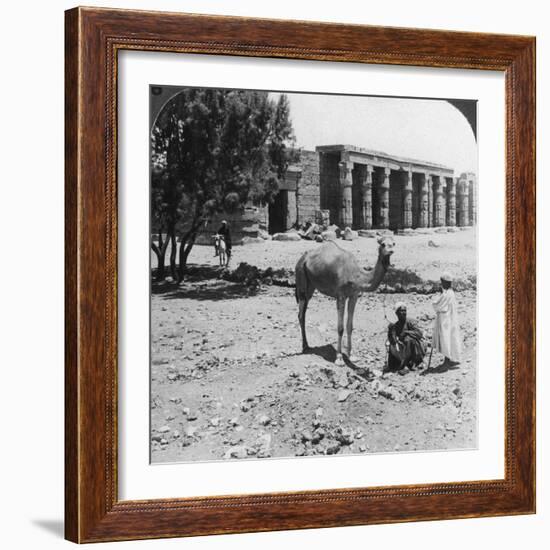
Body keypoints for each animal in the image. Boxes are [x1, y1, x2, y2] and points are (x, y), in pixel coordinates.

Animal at [298, 236, 396, 366]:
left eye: (394, 243)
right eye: (383, 244)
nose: (390, 251)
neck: (356, 276)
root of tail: (303, 258)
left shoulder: (354, 296)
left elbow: (350, 326)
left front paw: (351, 355)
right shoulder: (341, 296)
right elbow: (340, 328)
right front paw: (339, 358)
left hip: (311, 286)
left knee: (303, 312)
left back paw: (306, 345)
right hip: (301, 279)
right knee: (301, 314)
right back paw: (305, 346)